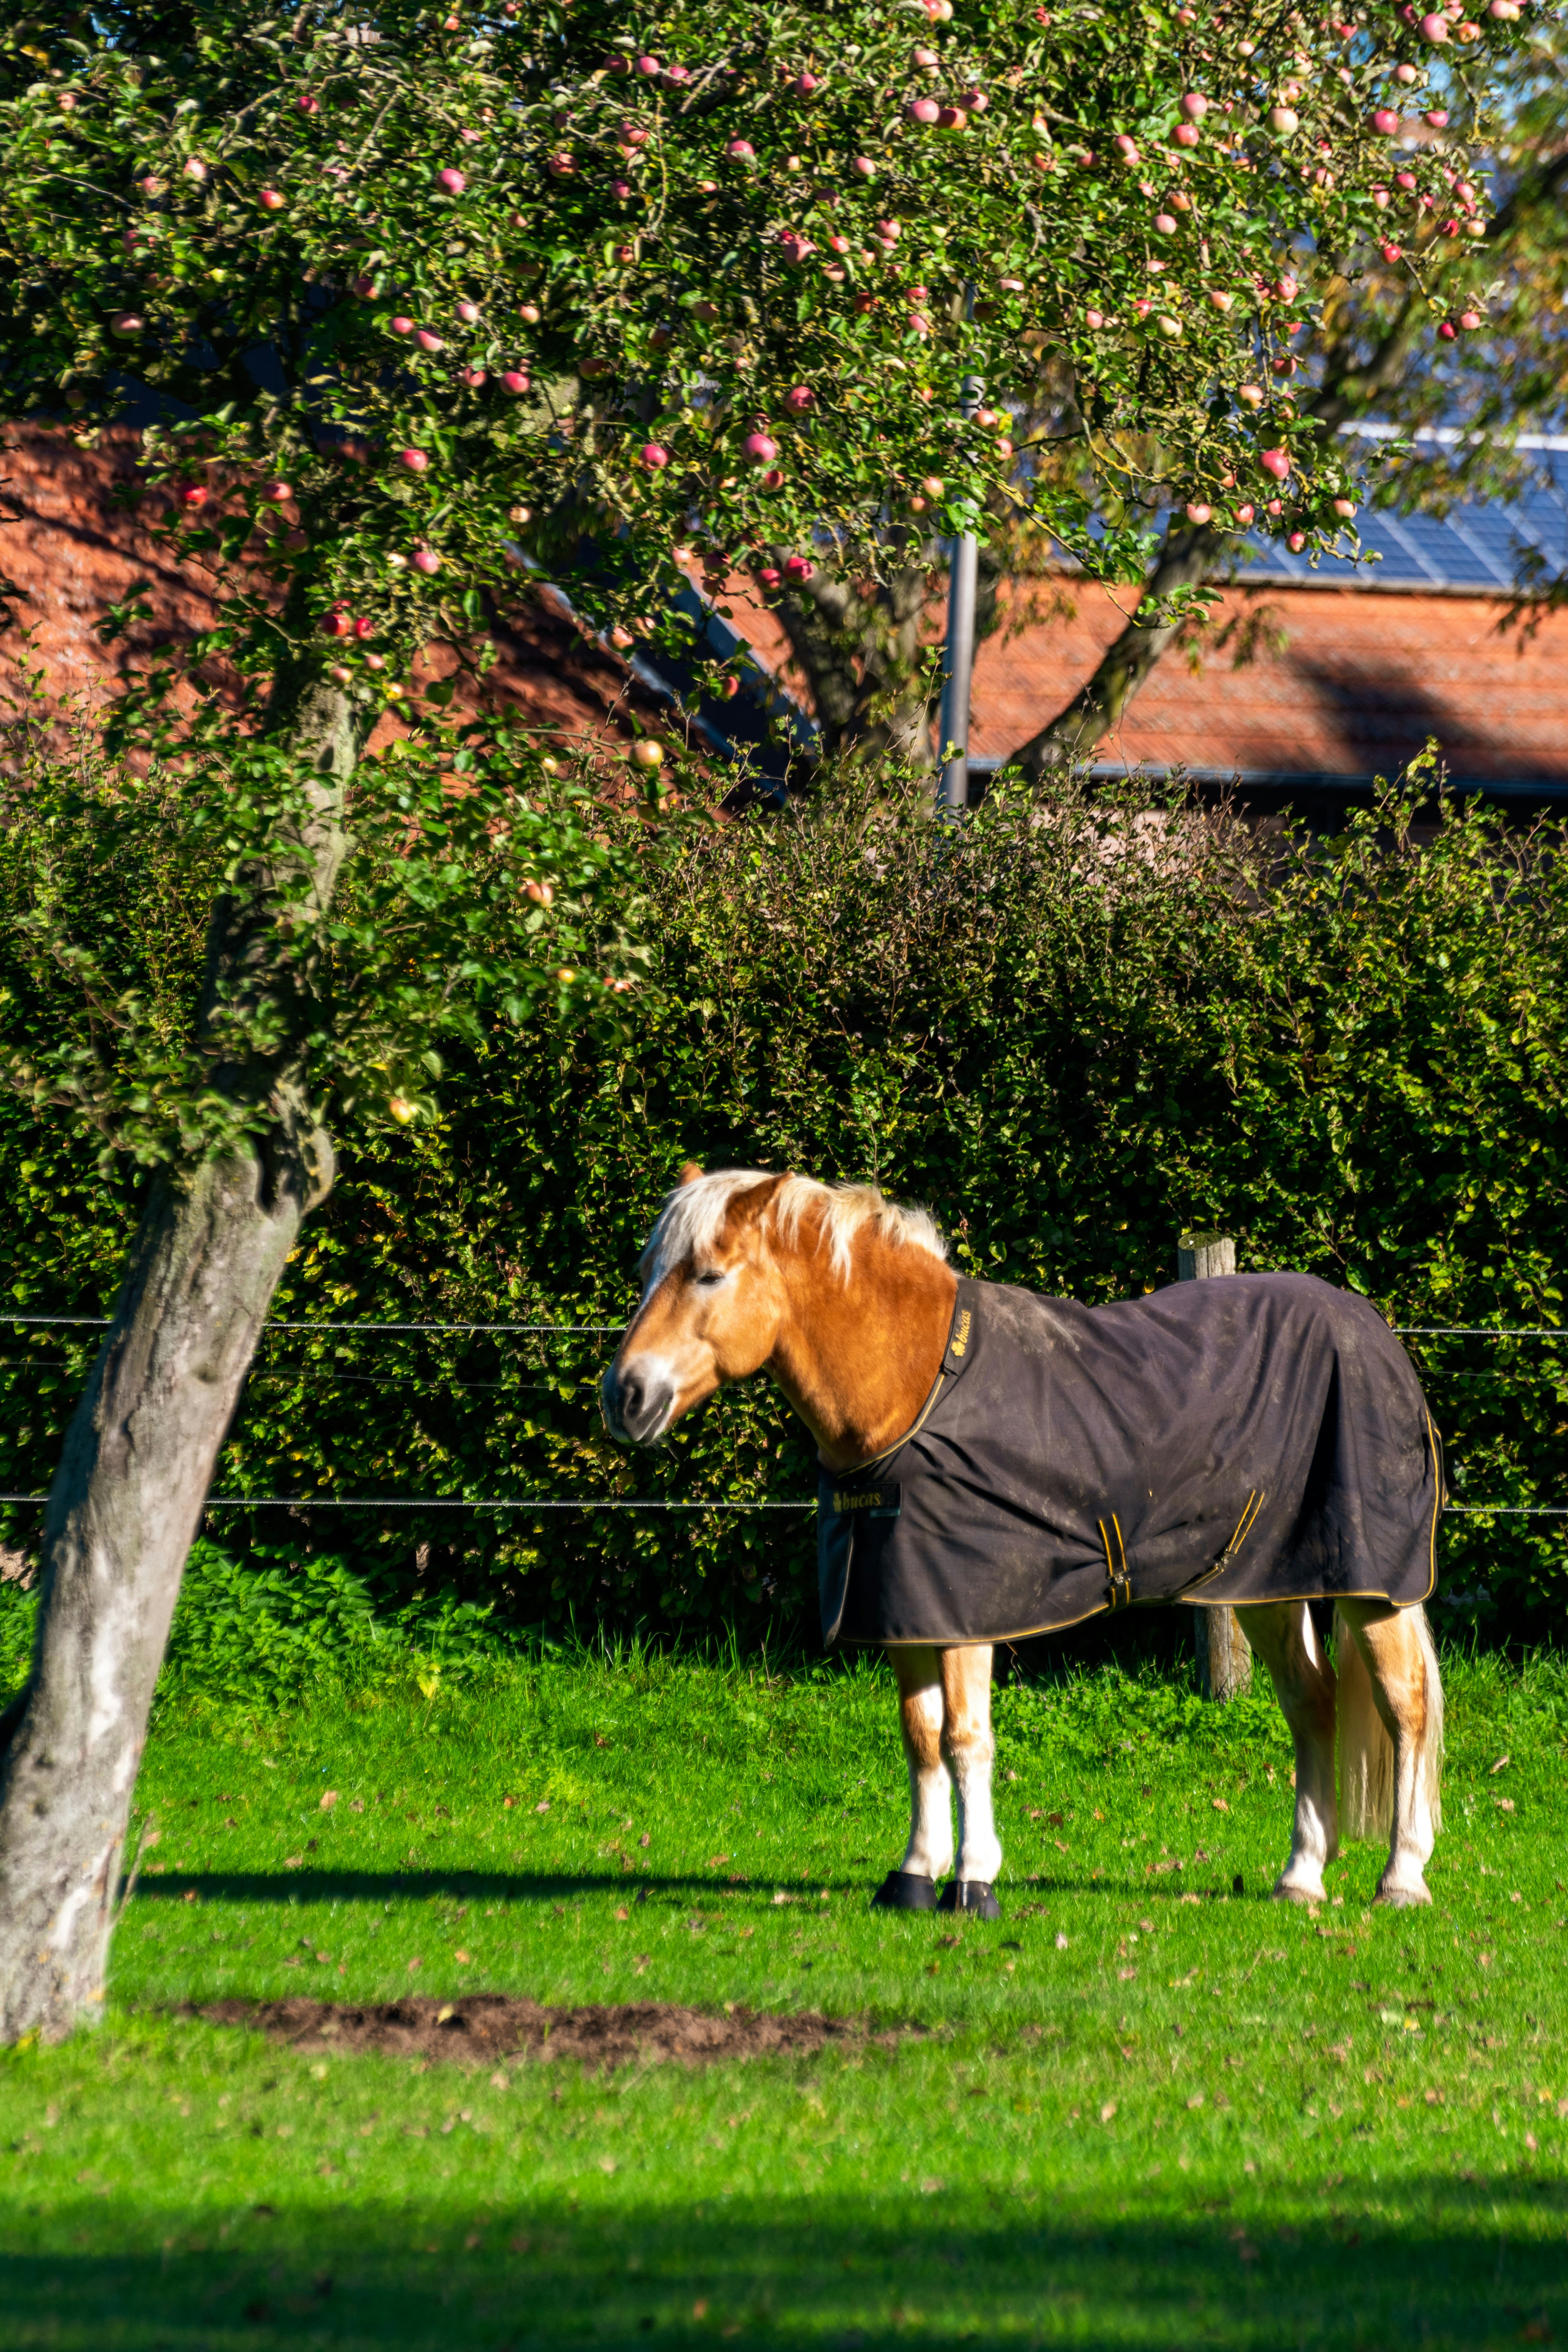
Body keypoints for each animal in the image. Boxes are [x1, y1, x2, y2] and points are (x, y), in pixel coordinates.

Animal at [601, 1165, 1445, 1918]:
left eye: (710, 1275)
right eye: (645, 1272)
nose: (624, 1396)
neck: (917, 1383)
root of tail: (1367, 1323)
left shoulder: (966, 1610)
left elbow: (966, 1740)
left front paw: (974, 1882)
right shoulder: (907, 1604)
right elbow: (920, 1737)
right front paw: (913, 1876)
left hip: (1372, 1587)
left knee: (1404, 1706)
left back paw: (1401, 1879)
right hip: (1266, 1585)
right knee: (1312, 1705)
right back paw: (1300, 1877)